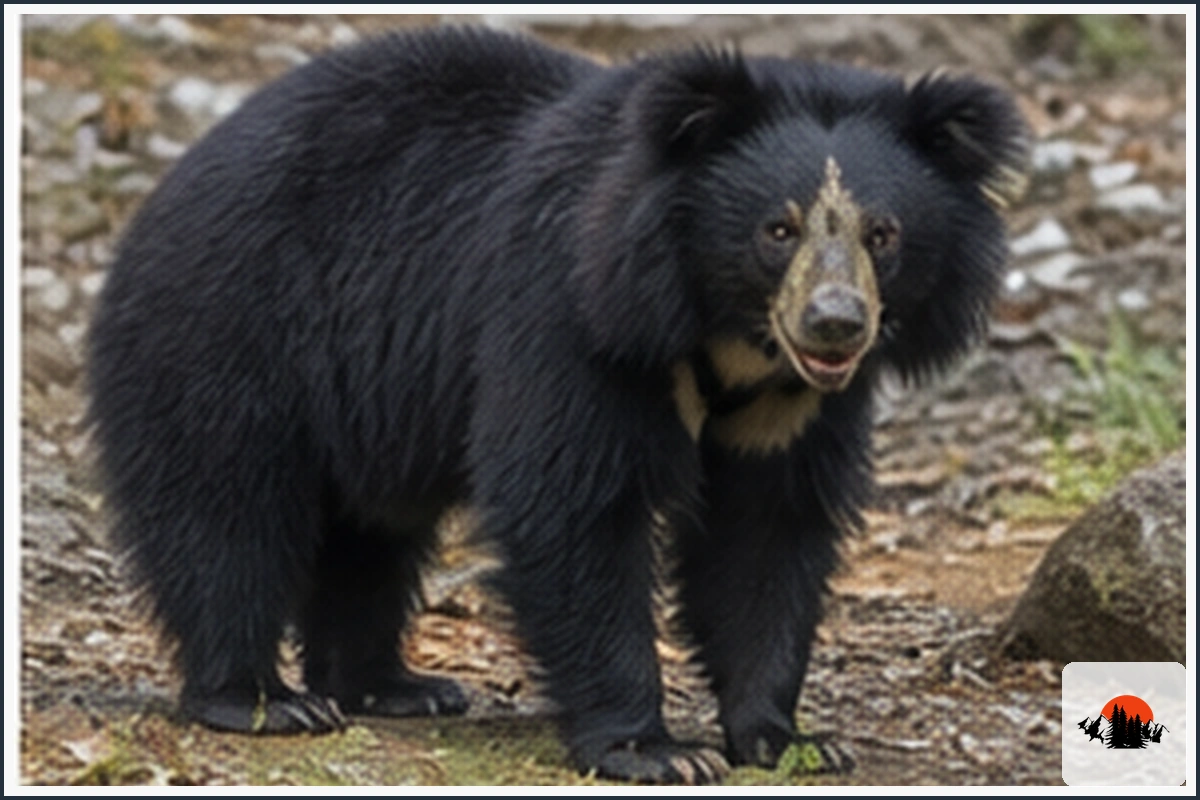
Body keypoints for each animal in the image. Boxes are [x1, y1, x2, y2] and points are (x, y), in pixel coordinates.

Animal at [86, 26, 1028, 784]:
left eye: (883, 234)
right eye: (778, 230)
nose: (835, 325)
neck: (722, 328)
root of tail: (161, 197)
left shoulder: (790, 407)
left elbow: (768, 532)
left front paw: (787, 739)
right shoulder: (572, 318)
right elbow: (574, 507)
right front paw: (654, 751)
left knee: (374, 530)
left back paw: (393, 687)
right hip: (233, 330)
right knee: (224, 510)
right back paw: (262, 699)